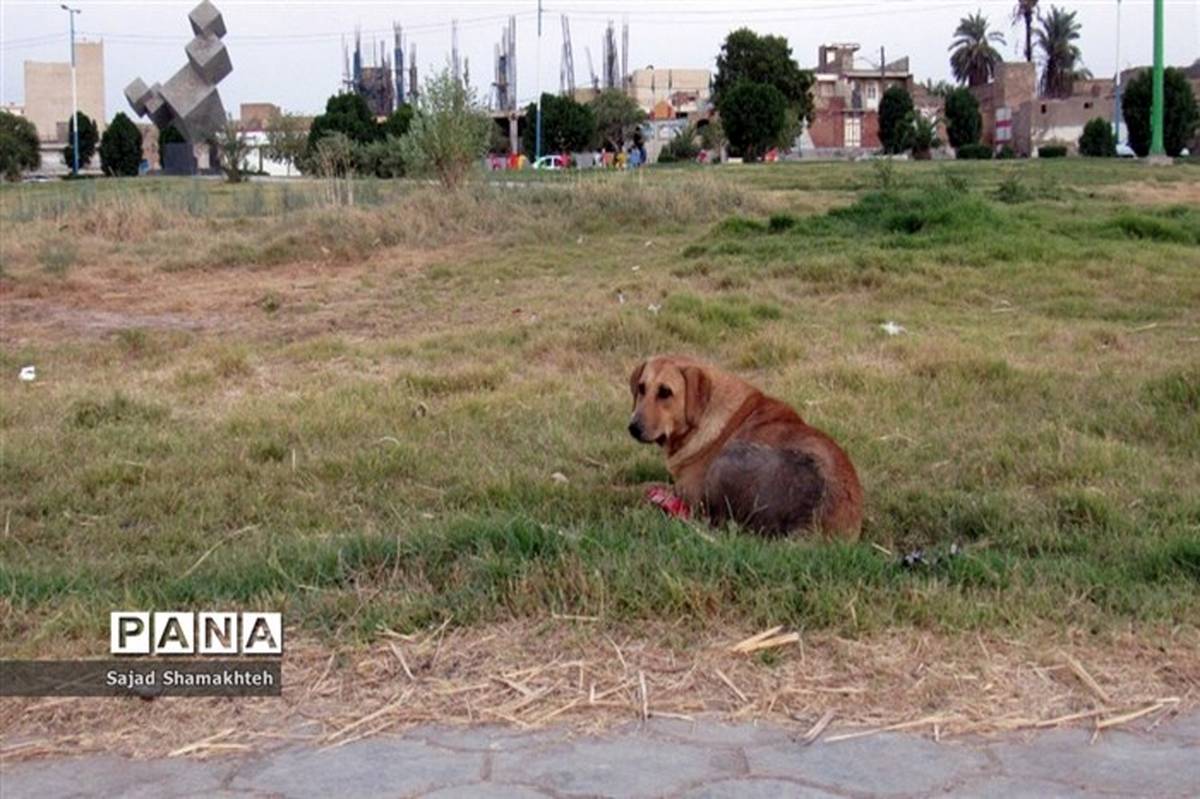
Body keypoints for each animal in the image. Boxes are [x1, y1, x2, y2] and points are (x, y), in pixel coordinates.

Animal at [627, 355, 863, 538]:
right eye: (641, 388)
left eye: (665, 392)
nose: (633, 428)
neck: (703, 414)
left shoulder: (689, 495)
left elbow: (645, 486)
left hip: (727, 457)